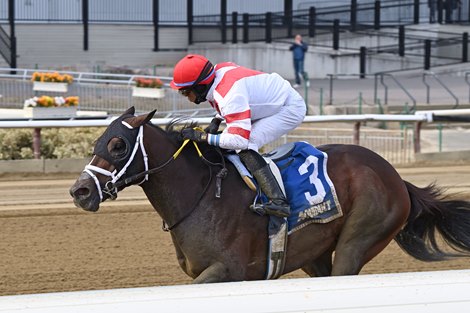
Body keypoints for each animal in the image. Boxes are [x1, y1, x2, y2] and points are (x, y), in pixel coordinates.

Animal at [68, 106, 470, 282]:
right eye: (97, 141)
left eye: (118, 144)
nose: (80, 191)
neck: (200, 197)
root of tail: (397, 178)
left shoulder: (227, 271)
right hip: (314, 254)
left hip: (361, 238)